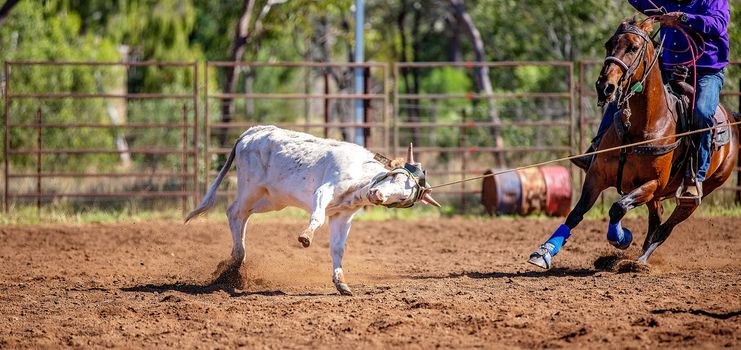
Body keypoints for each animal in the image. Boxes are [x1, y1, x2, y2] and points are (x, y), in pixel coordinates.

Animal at [186, 126, 440, 296]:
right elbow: (317, 218)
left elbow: (338, 248)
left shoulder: (342, 217)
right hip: (250, 188)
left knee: (242, 215)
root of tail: (252, 132)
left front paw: (341, 283)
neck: (359, 176)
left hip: (270, 199)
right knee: (234, 212)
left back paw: (236, 260)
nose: (377, 195)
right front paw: (306, 236)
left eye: (402, 198)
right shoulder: (323, 191)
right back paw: (237, 259)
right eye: (395, 176)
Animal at [528, 18, 736, 270]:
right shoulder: (596, 175)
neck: (642, 124)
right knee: (656, 219)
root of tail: (733, 119)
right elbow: (576, 213)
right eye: (609, 44)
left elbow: (617, 207)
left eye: (633, 48)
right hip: (656, 197)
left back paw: (641, 260)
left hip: (697, 192)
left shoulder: (652, 183)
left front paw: (621, 238)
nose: (604, 86)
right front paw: (544, 252)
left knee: (666, 227)